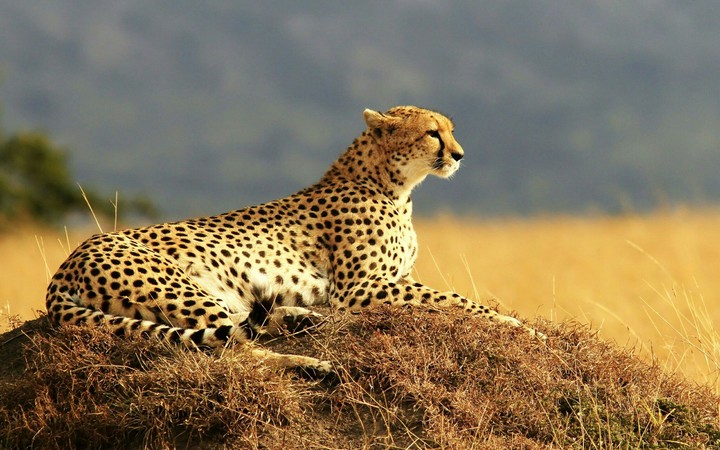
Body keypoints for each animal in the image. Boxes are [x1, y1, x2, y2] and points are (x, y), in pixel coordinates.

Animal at [46, 105, 543, 375]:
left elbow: (449, 297)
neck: (393, 185)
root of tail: (67, 263)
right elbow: (455, 299)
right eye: (432, 133)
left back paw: (302, 321)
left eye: (452, 130)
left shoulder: (384, 282)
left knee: (244, 326)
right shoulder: (360, 289)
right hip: (181, 288)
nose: (459, 155)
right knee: (231, 350)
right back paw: (311, 362)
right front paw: (520, 326)